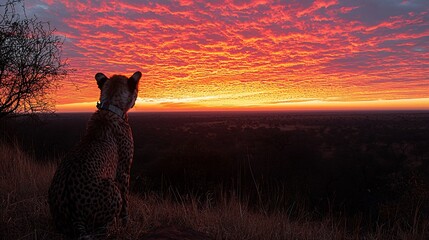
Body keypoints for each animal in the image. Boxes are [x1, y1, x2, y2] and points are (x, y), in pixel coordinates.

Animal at [48, 71, 142, 238]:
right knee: (103, 229)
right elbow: (126, 203)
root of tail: (75, 217)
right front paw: (127, 224)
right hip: (111, 186)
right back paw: (113, 228)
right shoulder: (123, 172)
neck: (110, 107)